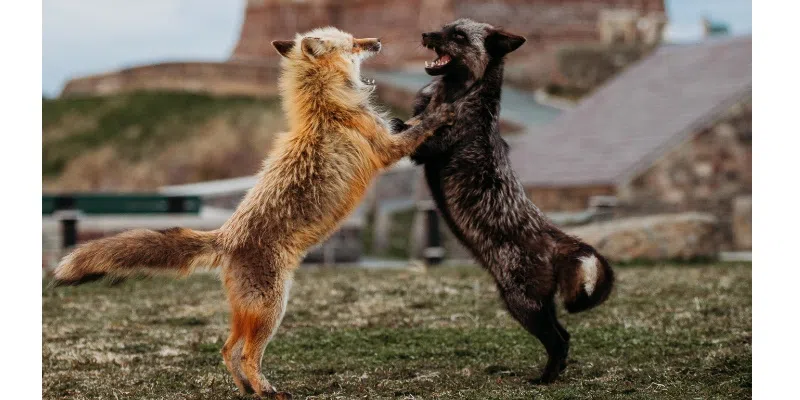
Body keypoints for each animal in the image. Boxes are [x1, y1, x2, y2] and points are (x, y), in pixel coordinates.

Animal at [52, 27, 453, 398]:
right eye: (353, 44)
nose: (378, 42)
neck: (327, 107)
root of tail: (225, 236)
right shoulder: (386, 151)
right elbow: (419, 129)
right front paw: (442, 113)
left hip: (248, 313)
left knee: (226, 349)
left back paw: (246, 388)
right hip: (272, 310)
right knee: (246, 354)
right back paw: (266, 389)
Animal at [403, 19, 616, 383]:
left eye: (458, 35)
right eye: (446, 27)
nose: (425, 34)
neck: (461, 94)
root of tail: (558, 240)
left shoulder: (427, 148)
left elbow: (404, 129)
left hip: (521, 303)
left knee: (558, 341)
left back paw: (545, 379)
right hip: (536, 305)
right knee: (566, 337)